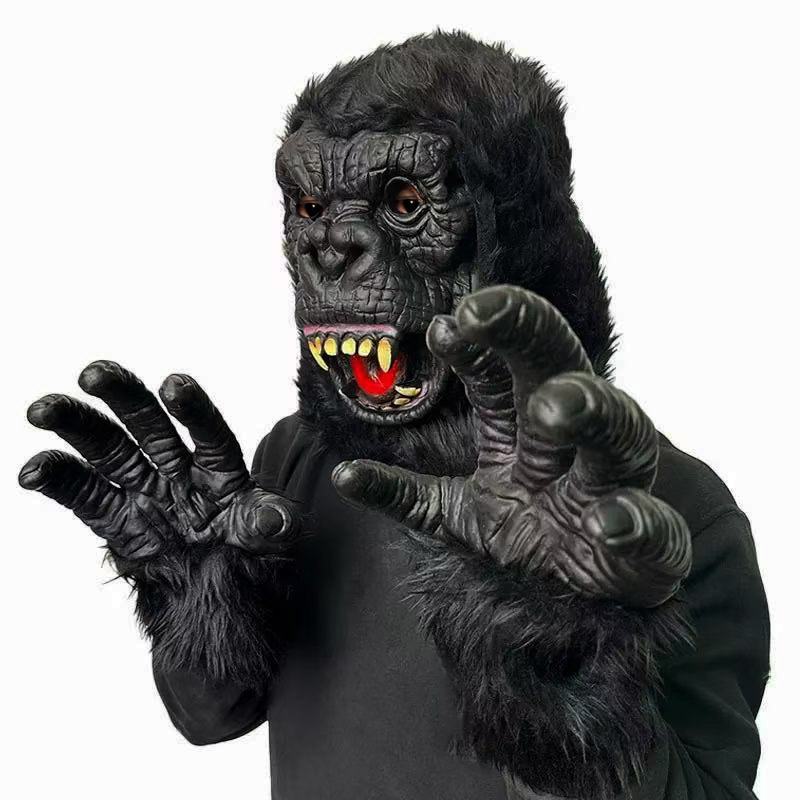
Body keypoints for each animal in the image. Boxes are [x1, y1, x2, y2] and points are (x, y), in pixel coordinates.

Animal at [19, 31, 768, 800]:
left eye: (404, 202)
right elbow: (216, 690)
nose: (329, 251)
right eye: (310, 208)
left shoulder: (714, 524)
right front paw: (184, 534)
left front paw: (540, 571)